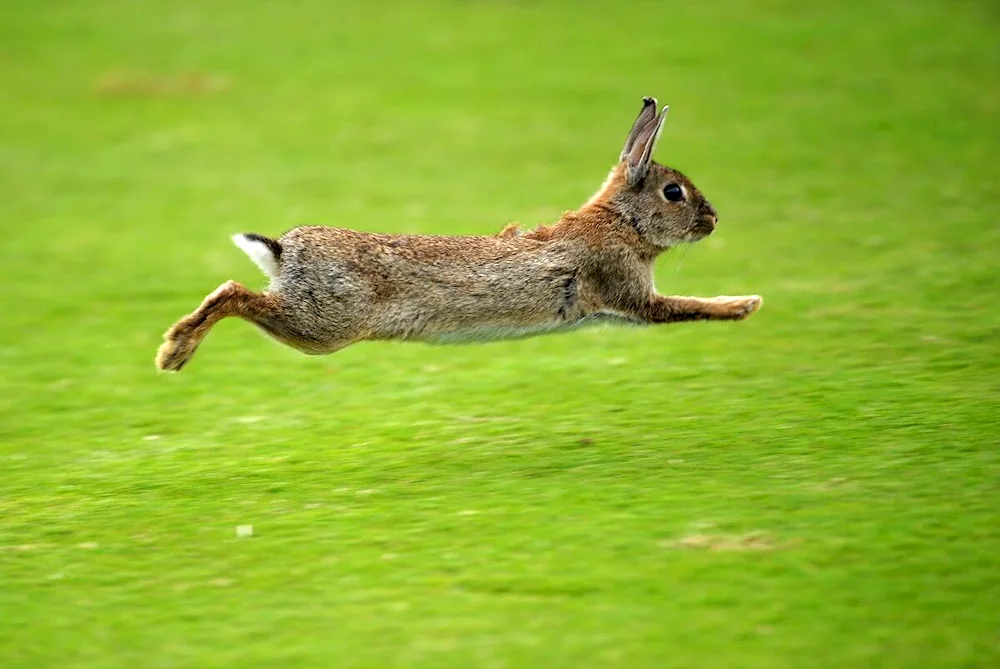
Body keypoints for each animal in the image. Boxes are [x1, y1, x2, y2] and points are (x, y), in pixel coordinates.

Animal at [156, 97, 760, 374]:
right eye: (674, 193)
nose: (713, 221)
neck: (621, 222)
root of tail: (285, 253)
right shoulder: (627, 292)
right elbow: (686, 307)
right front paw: (745, 305)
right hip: (324, 325)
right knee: (236, 295)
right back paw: (175, 352)